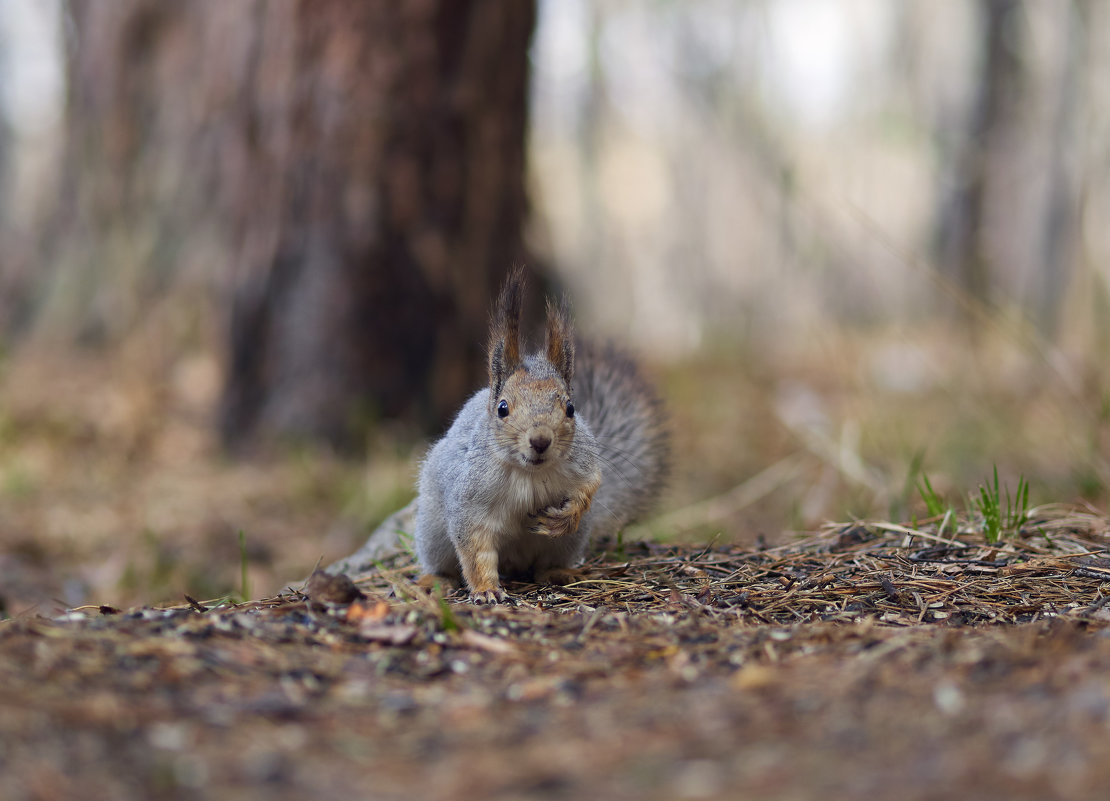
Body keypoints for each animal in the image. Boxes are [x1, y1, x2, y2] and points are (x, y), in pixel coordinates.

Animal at [415, 265, 666, 603]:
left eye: (571, 408)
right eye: (503, 408)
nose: (540, 441)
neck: (530, 473)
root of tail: (515, 562)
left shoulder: (583, 462)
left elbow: (591, 484)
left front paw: (564, 516)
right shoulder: (470, 498)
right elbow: (475, 548)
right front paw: (486, 589)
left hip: (567, 543)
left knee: (544, 566)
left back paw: (561, 572)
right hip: (433, 534)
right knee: (447, 564)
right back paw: (437, 580)